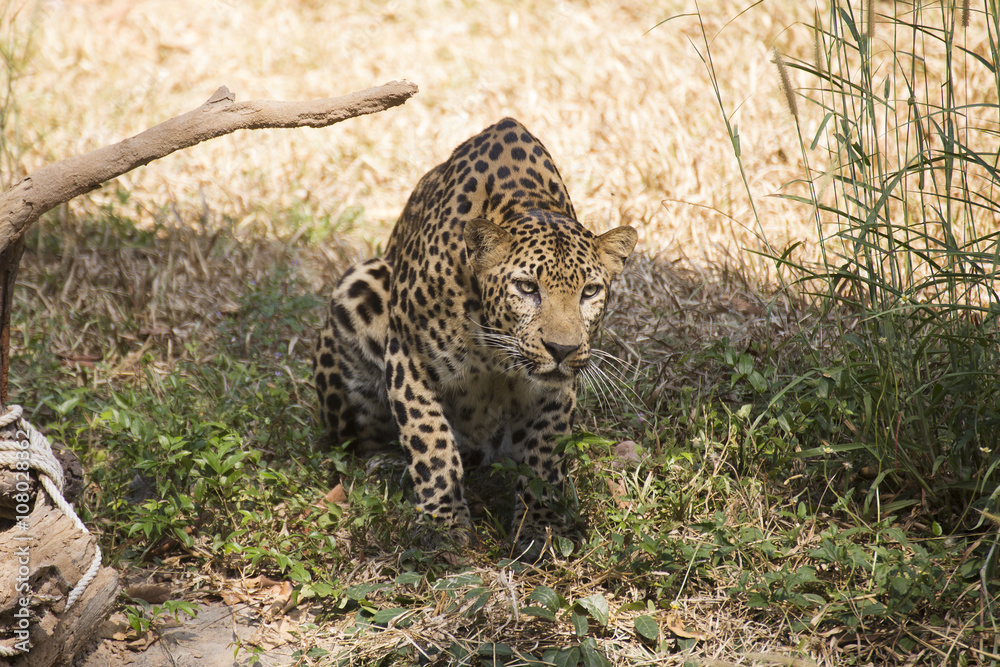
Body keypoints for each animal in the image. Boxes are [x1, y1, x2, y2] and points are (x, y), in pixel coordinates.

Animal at [313, 118, 637, 556]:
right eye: (526, 288)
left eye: (589, 292)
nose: (562, 349)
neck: (496, 350)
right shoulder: (408, 357)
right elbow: (430, 442)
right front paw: (443, 525)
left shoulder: (555, 389)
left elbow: (545, 456)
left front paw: (541, 526)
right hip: (360, 285)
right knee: (359, 442)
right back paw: (387, 467)